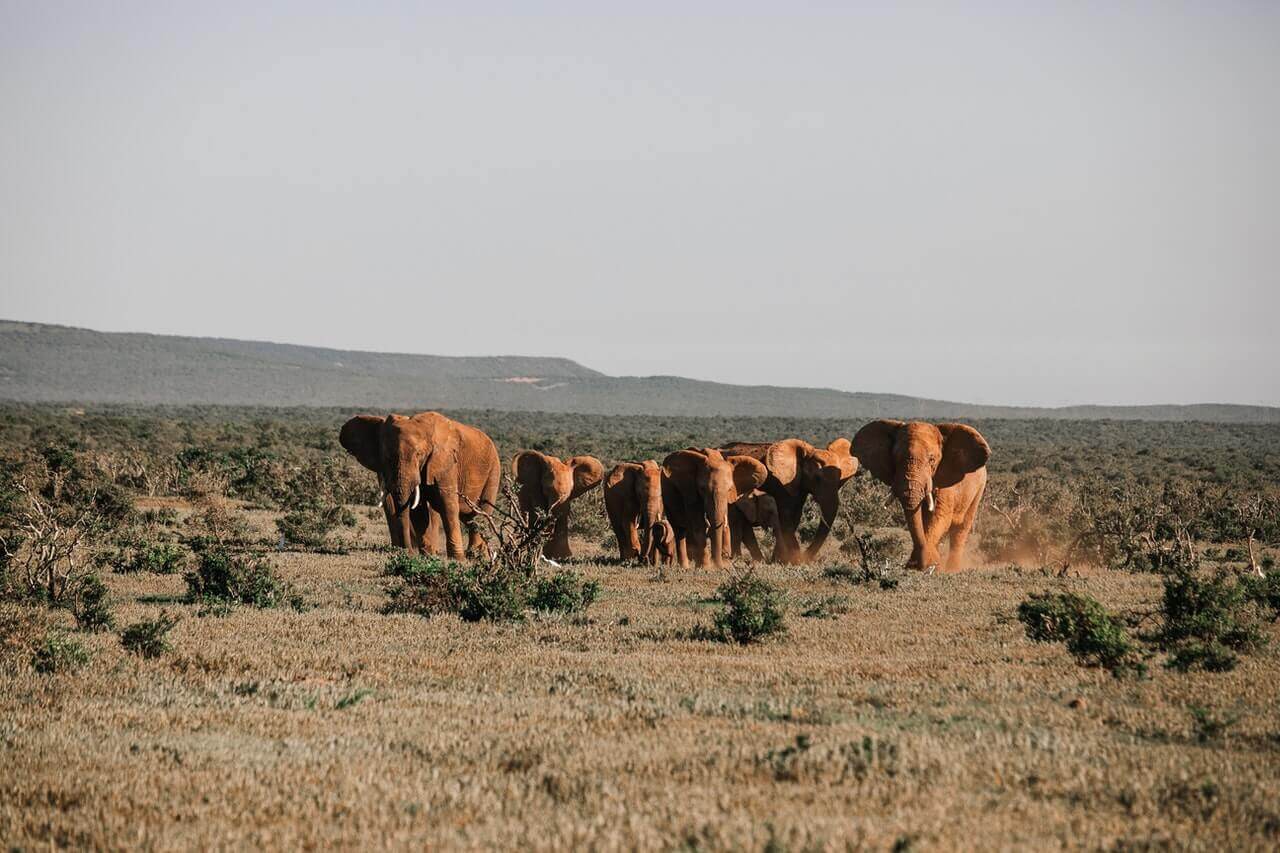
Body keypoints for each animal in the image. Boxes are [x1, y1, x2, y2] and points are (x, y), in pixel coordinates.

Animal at [340, 412, 499, 558]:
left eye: (419, 454)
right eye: (387, 457)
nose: (408, 553)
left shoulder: (445, 462)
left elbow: (448, 505)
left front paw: (457, 559)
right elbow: (419, 510)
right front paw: (428, 556)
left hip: (493, 471)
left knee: (481, 512)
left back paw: (477, 555)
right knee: (470, 518)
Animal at [721, 435, 860, 560]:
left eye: (839, 481)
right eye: (817, 478)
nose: (805, 557)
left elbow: (795, 517)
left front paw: (782, 561)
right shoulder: (781, 483)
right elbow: (786, 517)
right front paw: (795, 561)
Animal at [855, 417, 993, 571]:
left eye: (932, 460)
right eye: (895, 459)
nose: (917, 565)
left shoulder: (944, 480)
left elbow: (938, 517)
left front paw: (931, 564)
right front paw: (920, 564)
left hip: (979, 489)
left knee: (961, 529)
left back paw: (952, 568)